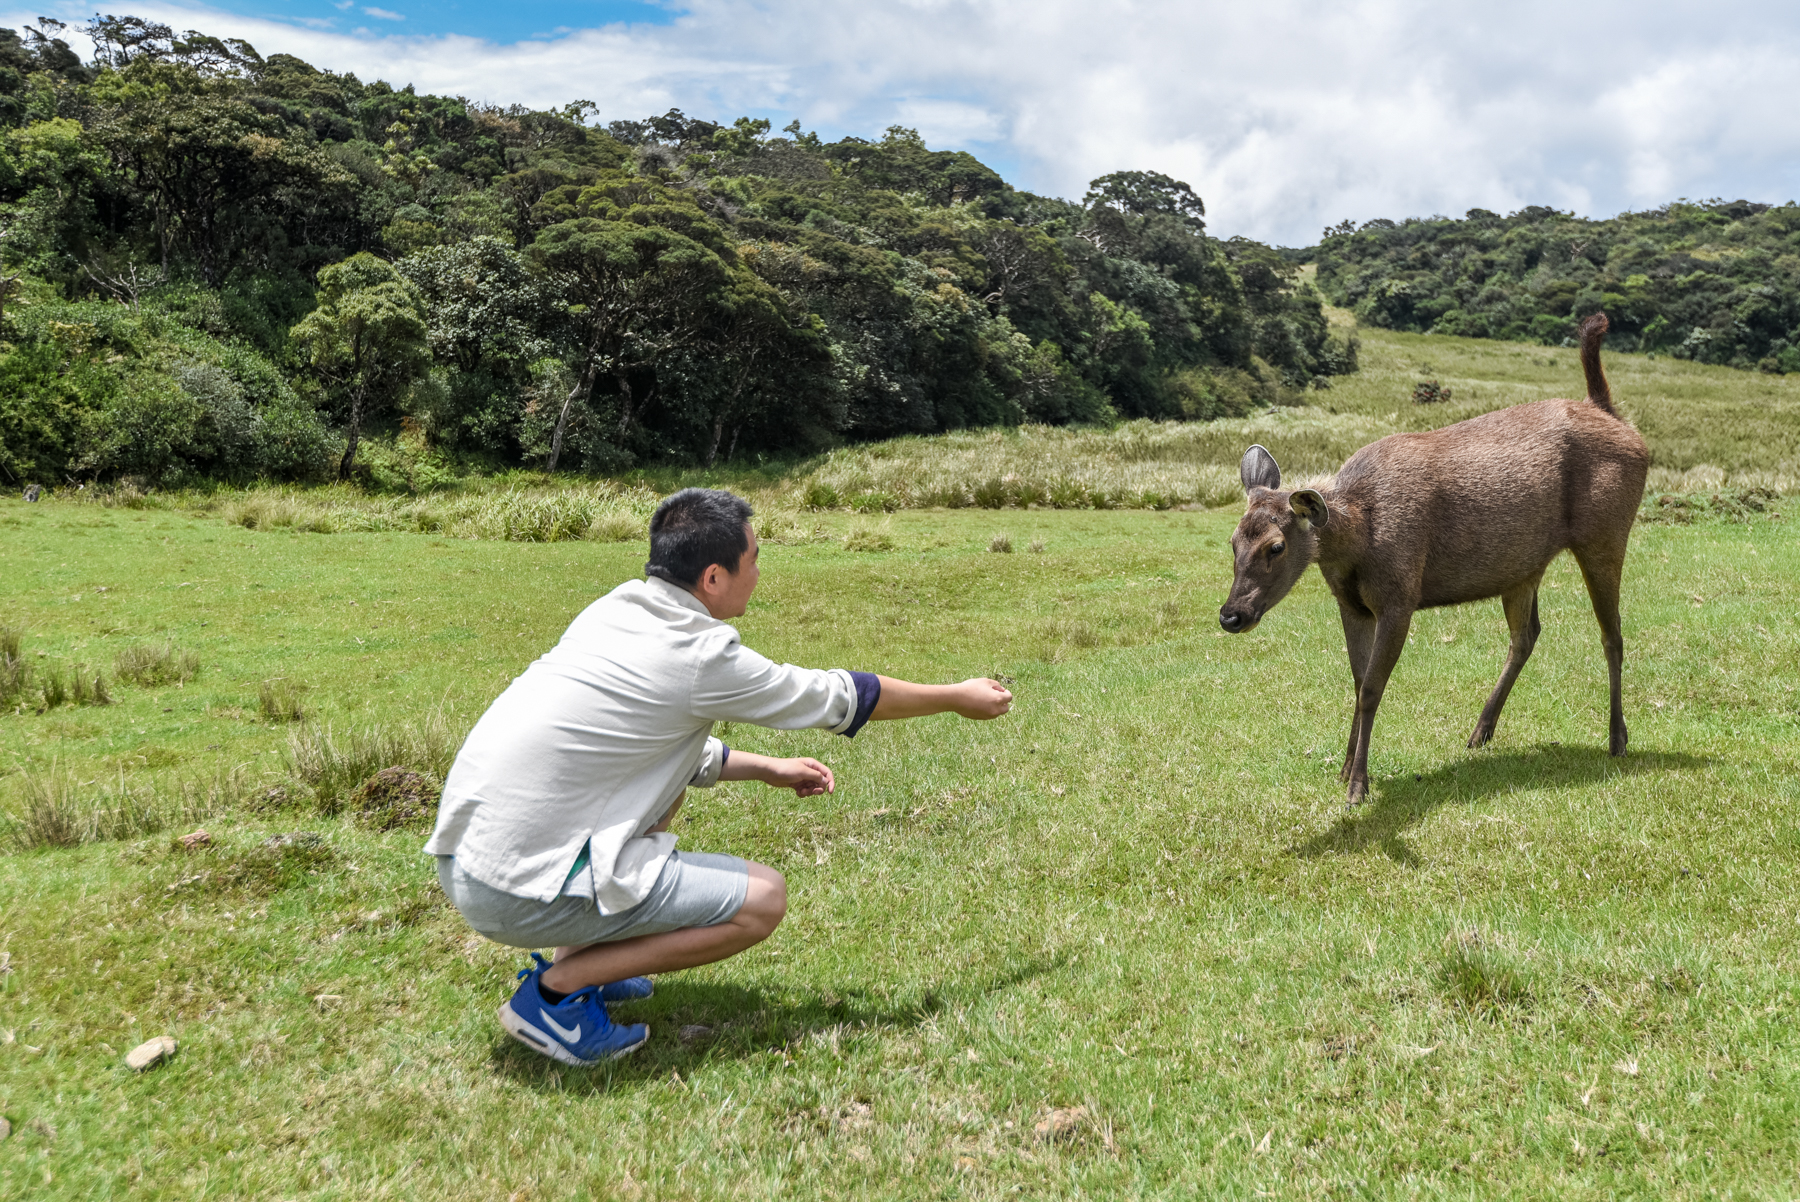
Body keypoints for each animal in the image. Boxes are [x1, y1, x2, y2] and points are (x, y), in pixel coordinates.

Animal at [1216, 314, 1648, 802]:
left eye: (1277, 546)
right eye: (1232, 540)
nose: (1231, 615)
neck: (1357, 540)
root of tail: (1615, 415)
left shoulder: (1400, 596)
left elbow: (1371, 688)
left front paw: (1359, 785)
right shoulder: (1351, 604)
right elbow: (1357, 681)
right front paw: (1345, 769)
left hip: (1606, 532)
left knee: (1612, 635)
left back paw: (1617, 738)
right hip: (1522, 566)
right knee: (1526, 635)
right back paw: (1481, 730)